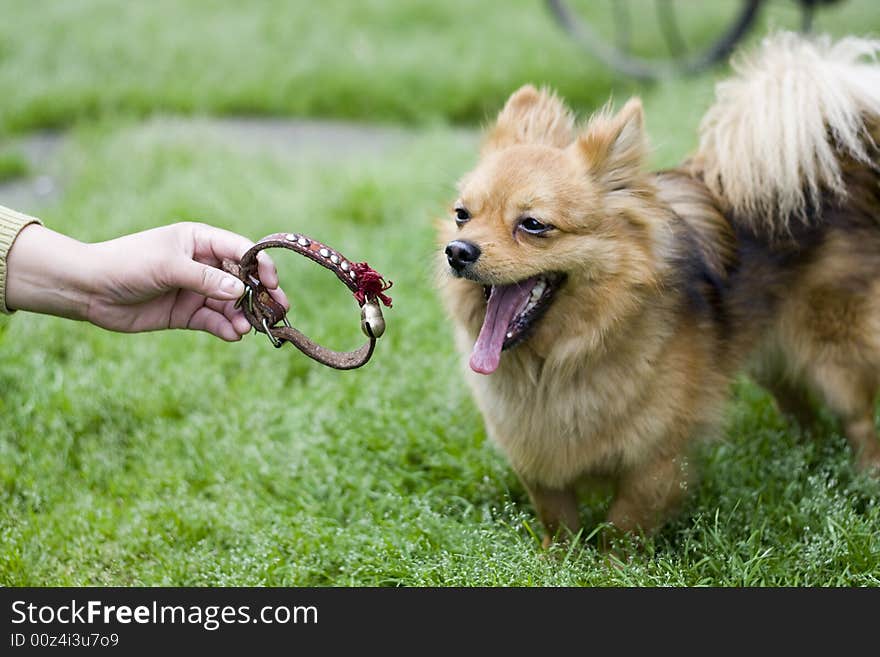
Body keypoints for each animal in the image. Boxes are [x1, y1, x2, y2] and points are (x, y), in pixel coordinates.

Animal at [438, 32, 880, 544]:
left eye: (532, 225)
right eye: (462, 215)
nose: (457, 251)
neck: (562, 359)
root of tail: (838, 161)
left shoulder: (657, 458)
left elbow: (623, 525)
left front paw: (608, 560)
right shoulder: (540, 460)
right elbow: (558, 520)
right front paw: (559, 556)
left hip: (835, 359)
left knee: (859, 421)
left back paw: (864, 478)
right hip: (771, 357)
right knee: (798, 405)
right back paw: (804, 456)